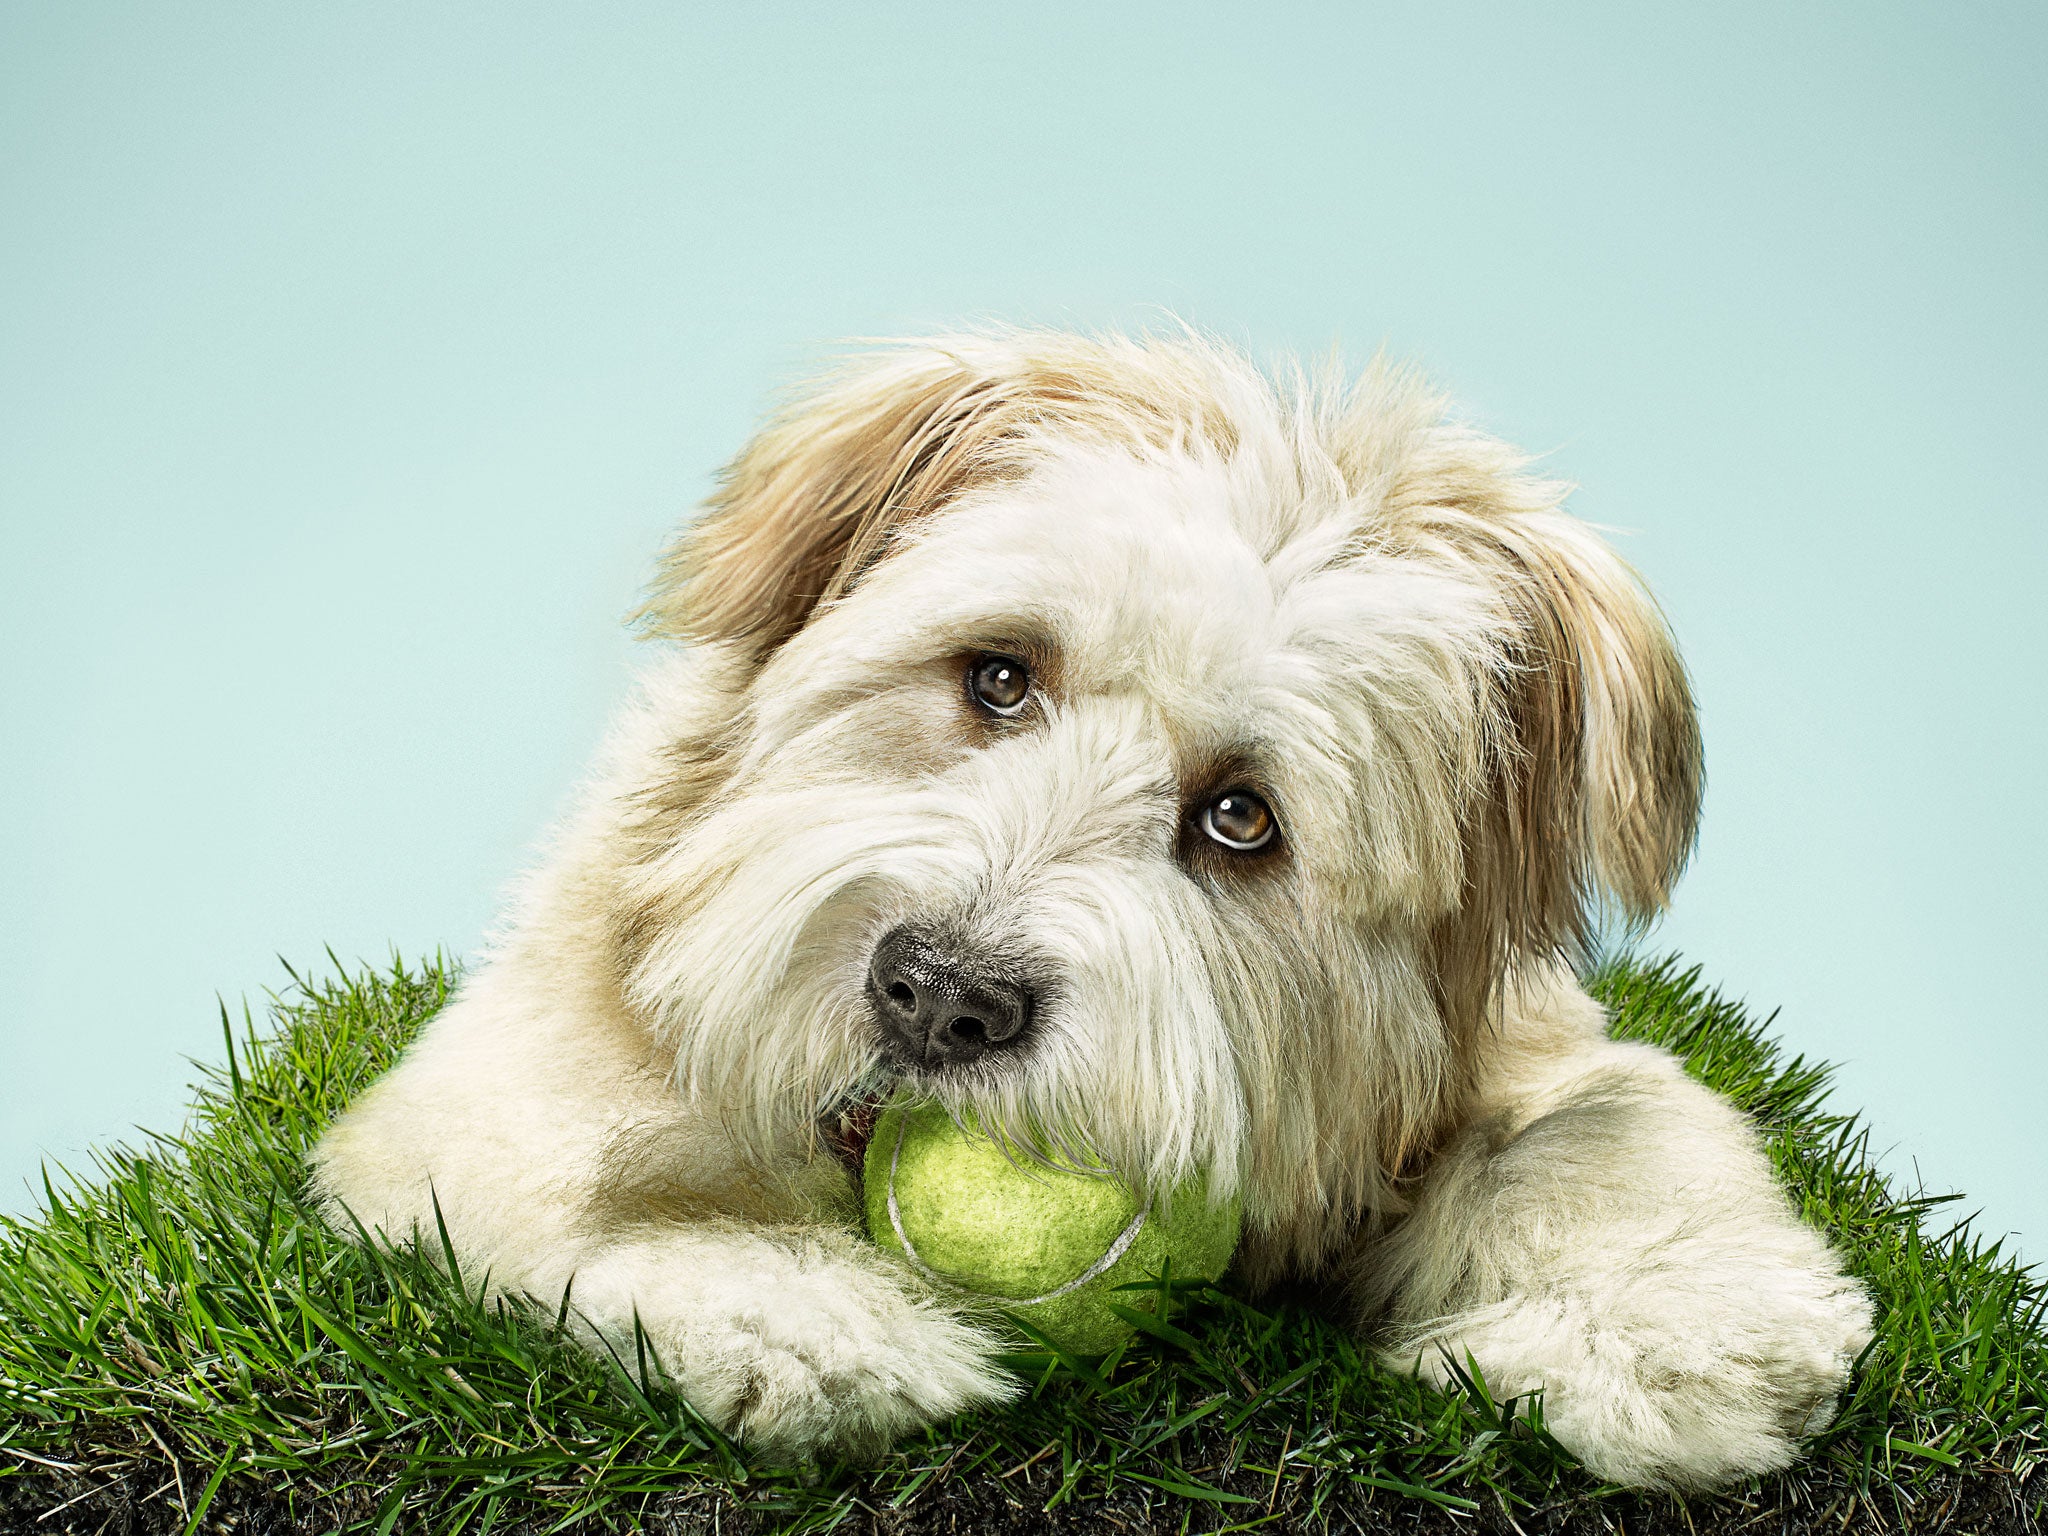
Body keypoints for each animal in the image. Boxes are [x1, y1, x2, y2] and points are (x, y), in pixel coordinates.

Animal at [315, 327, 1875, 1490]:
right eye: (998, 676)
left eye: (1241, 818)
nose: (939, 997)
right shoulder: (521, 1048)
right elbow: (559, 1162)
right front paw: (783, 1304)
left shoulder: (1519, 1049)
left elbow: (1606, 1125)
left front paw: (1673, 1334)